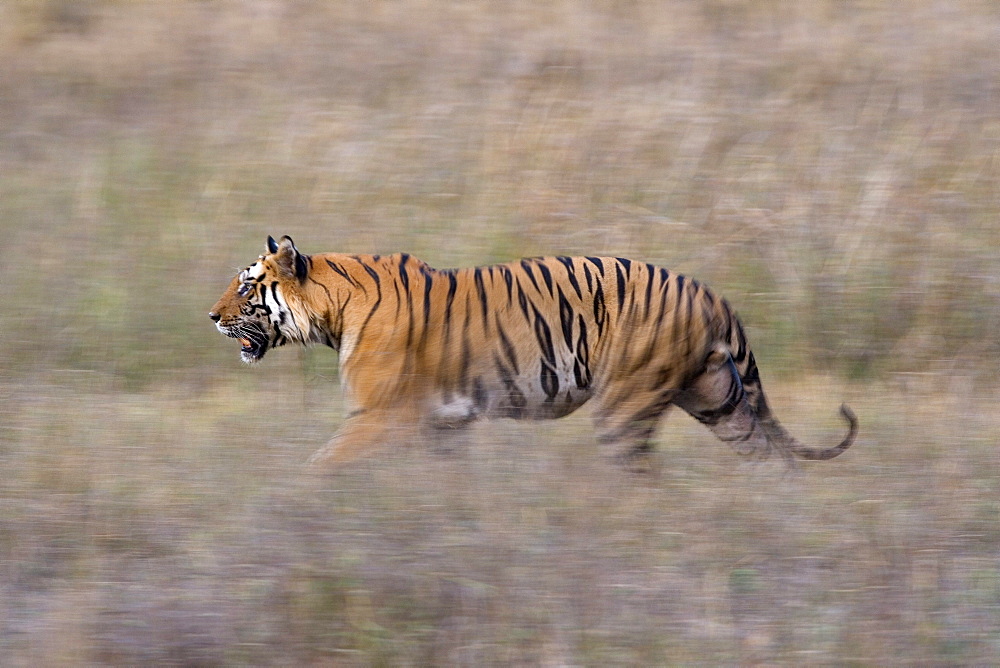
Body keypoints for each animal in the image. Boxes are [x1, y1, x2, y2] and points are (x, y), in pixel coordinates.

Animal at [207, 235, 856, 470]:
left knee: (638, 480)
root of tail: (708, 292)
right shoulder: (442, 424)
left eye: (246, 286)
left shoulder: (379, 417)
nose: (211, 317)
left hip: (625, 405)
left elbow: (321, 466)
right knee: (770, 458)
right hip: (717, 397)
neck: (334, 309)